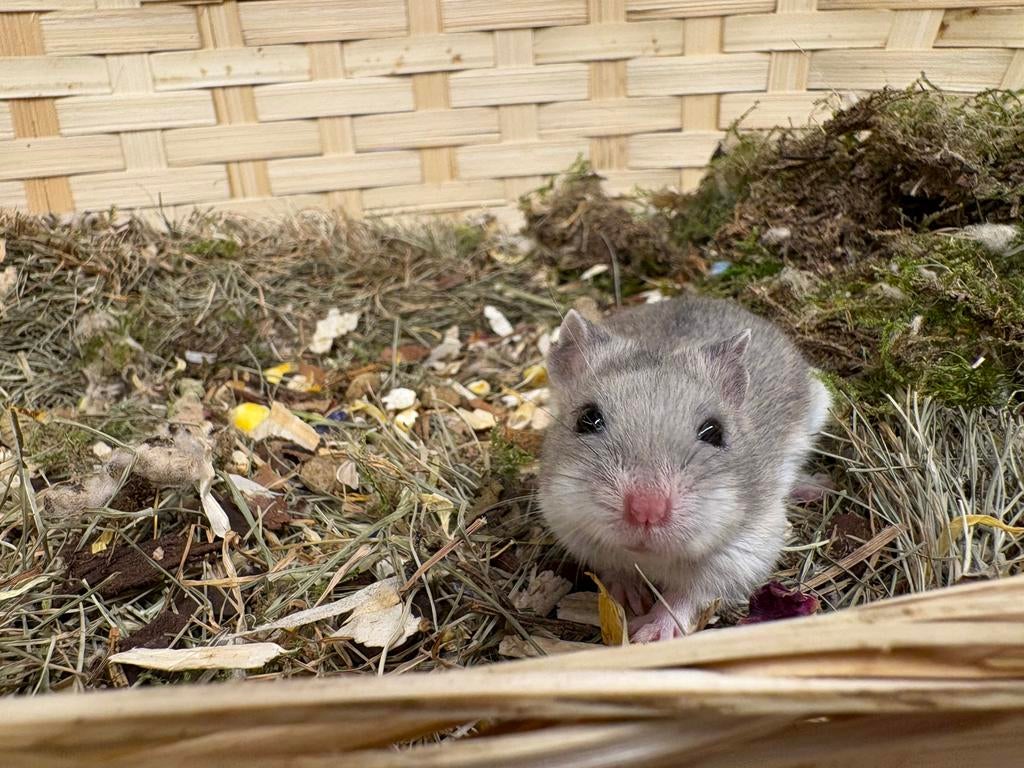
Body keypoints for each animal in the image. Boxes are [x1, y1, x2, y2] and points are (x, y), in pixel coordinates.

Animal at [539, 295, 831, 643]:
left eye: (714, 432)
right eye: (587, 419)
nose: (646, 511)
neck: (649, 557)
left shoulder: (745, 551)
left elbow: (687, 596)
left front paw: (648, 634)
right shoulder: (573, 531)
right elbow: (616, 568)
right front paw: (630, 599)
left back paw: (818, 487)